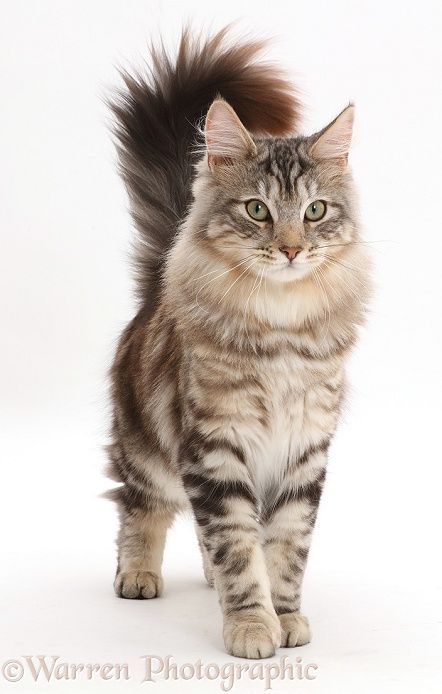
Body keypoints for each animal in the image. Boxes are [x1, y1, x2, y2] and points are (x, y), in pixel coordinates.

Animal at [105, 25, 372, 656]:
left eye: (314, 211)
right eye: (257, 210)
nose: (292, 249)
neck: (282, 326)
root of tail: (156, 288)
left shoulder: (303, 452)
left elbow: (284, 550)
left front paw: (285, 616)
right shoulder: (216, 445)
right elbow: (236, 547)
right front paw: (252, 626)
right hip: (145, 449)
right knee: (139, 507)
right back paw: (137, 573)